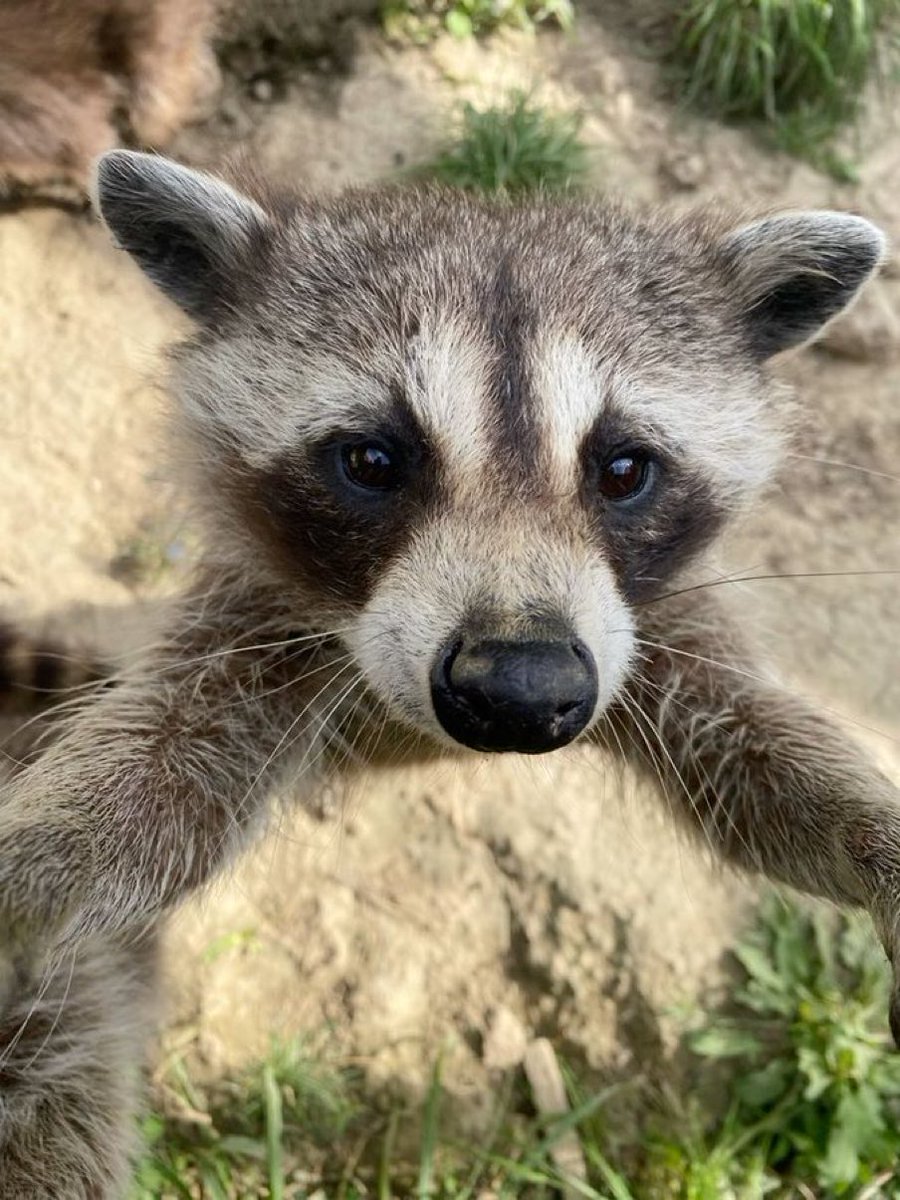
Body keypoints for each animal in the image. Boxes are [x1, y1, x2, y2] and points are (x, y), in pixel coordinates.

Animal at [0, 150, 896, 1197]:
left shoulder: (661, 623)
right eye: (371, 460)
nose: (518, 692)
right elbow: (160, 784)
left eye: (624, 468)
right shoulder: (255, 622)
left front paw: (878, 841)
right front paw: (29, 880)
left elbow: (756, 762)